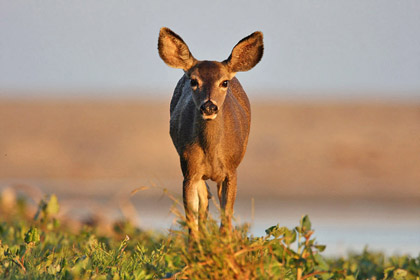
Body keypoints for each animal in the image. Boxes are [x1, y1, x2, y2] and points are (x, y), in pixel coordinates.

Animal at [158, 27, 262, 236]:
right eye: (193, 81)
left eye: (224, 82)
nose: (209, 107)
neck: (212, 152)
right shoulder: (189, 170)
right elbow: (192, 219)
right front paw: (196, 245)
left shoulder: (231, 170)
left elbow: (226, 217)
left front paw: (225, 244)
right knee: (204, 205)